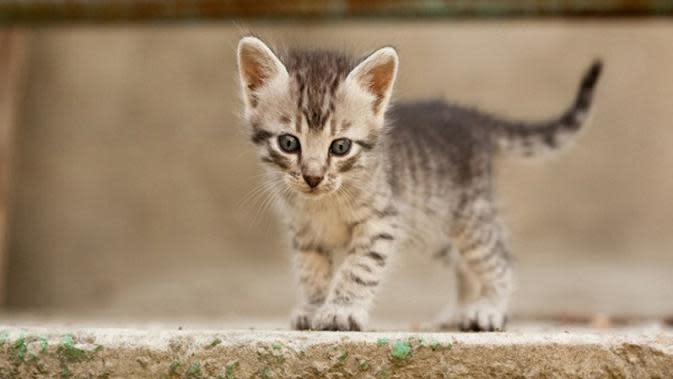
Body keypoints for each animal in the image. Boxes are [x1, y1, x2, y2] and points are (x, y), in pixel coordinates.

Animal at [238, 36, 604, 332]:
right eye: (289, 143)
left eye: (340, 147)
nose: (313, 177)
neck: (324, 202)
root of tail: (470, 117)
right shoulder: (304, 231)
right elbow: (311, 272)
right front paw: (313, 307)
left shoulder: (382, 222)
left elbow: (358, 268)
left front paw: (341, 311)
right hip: (434, 226)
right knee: (464, 267)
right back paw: (461, 310)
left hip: (469, 220)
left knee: (499, 260)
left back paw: (488, 309)